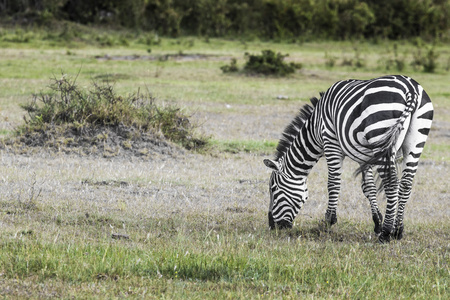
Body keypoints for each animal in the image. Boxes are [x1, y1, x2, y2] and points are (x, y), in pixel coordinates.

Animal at [264, 75, 432, 244]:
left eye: (273, 189)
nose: (272, 226)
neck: (315, 128)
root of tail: (410, 88)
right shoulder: (364, 156)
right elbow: (368, 187)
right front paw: (377, 222)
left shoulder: (331, 142)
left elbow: (333, 183)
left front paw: (327, 222)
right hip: (415, 140)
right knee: (406, 184)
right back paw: (397, 231)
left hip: (380, 133)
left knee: (391, 184)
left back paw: (386, 233)